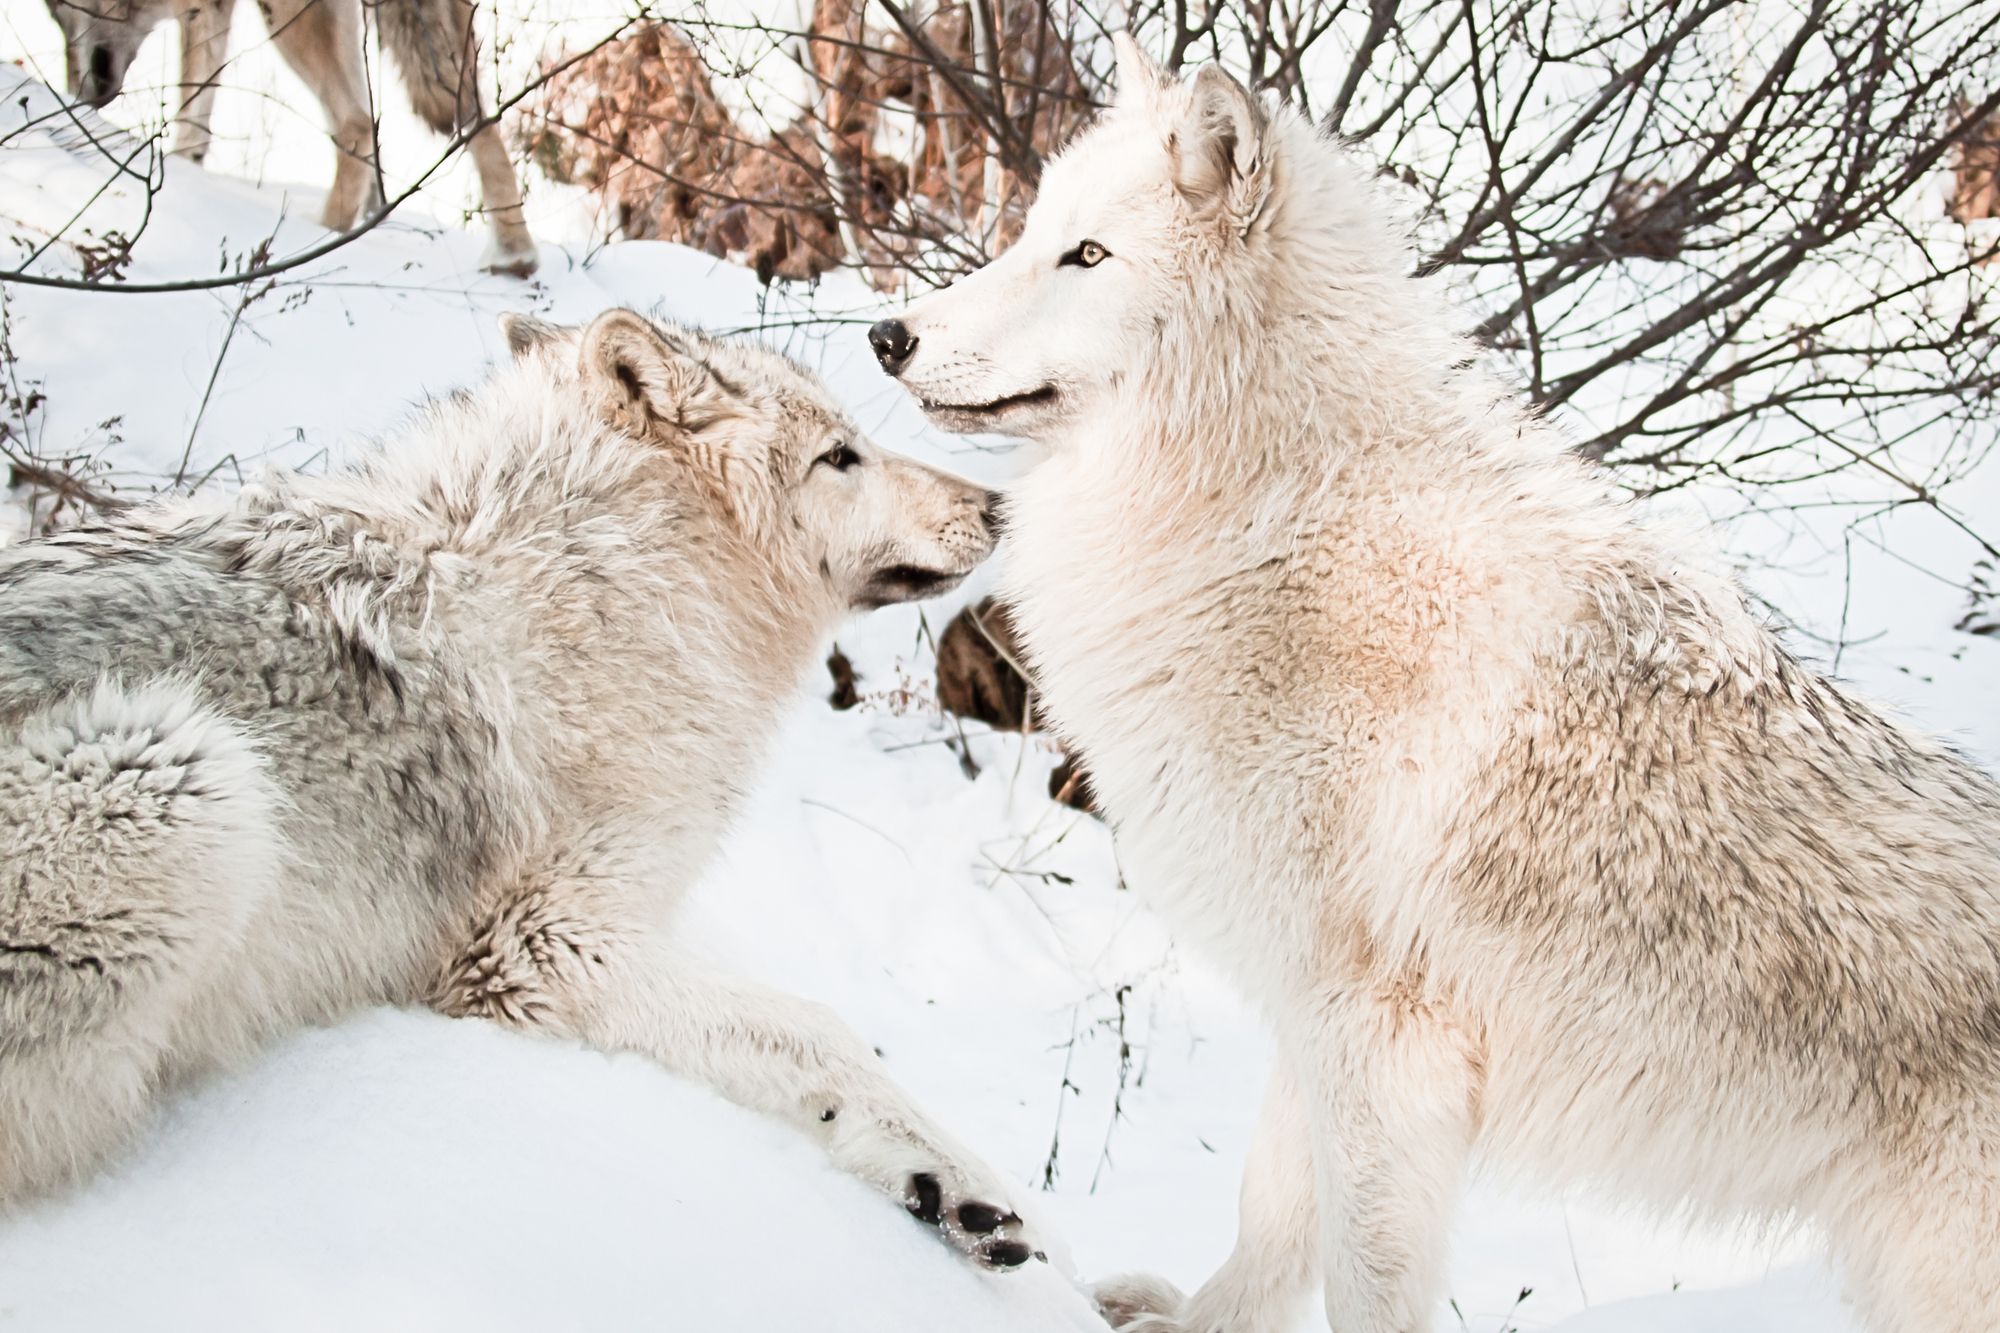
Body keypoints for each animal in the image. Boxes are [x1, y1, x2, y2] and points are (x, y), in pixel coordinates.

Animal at [0, 308, 1040, 1264]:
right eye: (839, 456)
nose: (1000, 509)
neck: (617, 580)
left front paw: (933, 1186)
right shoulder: (539, 942)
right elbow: (821, 1029)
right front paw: (967, 1179)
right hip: (176, 769)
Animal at [47, 0, 544, 272]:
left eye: (56, 15)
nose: (80, 96)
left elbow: (190, 107)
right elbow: (197, 120)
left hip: (287, 20)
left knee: (355, 123)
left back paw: (321, 235)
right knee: (479, 121)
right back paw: (511, 254)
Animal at [868, 31, 2000, 1328]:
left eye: (1086, 257)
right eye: (1031, 235)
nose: (887, 337)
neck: (1271, 517)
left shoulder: (1382, 1044)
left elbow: (1358, 1277)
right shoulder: (1312, 1017)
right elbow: (1267, 1223)